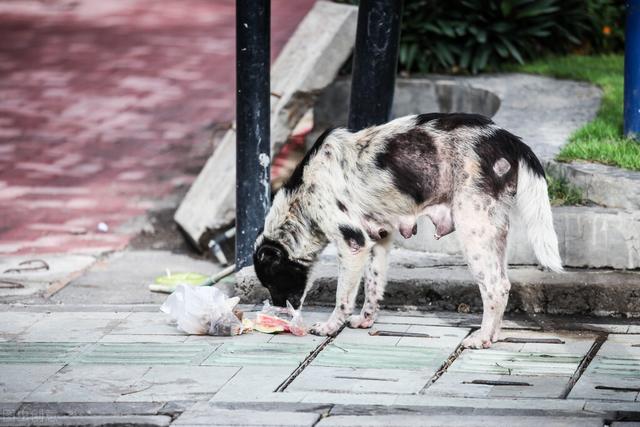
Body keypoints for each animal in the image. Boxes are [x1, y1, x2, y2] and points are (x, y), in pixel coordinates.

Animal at [252, 113, 564, 348]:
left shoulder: (353, 244)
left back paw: (481, 338)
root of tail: (509, 139)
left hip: (474, 230)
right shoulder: (378, 240)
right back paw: (493, 335)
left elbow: (343, 298)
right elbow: (374, 287)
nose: (279, 310)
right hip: (494, 233)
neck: (303, 194)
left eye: (271, 280)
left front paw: (329, 327)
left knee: (495, 287)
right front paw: (365, 321)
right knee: (505, 285)